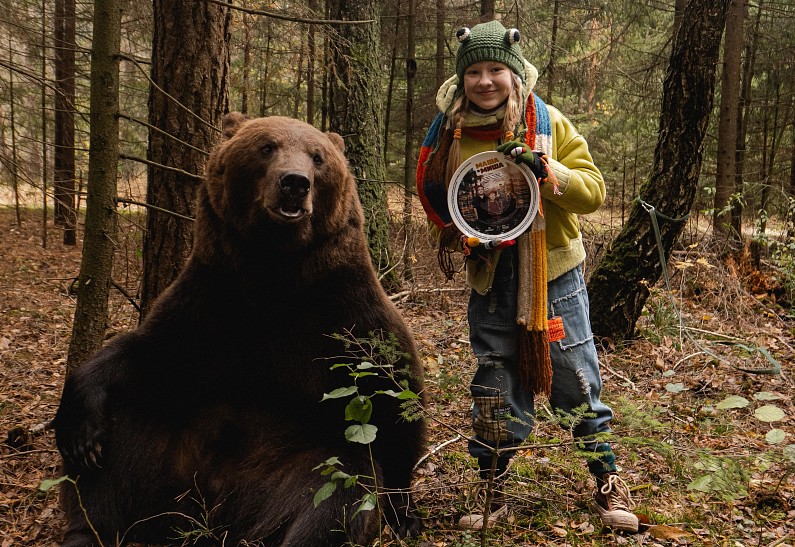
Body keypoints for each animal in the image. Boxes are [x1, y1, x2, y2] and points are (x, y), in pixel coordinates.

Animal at [54, 113, 430, 544]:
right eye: (266, 147)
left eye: (317, 157)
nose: (294, 182)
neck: (273, 270)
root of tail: (219, 508)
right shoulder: (215, 299)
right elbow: (151, 350)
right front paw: (79, 425)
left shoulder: (343, 308)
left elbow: (394, 396)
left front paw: (405, 513)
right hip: (167, 452)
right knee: (118, 441)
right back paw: (87, 511)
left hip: (288, 469)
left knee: (340, 487)